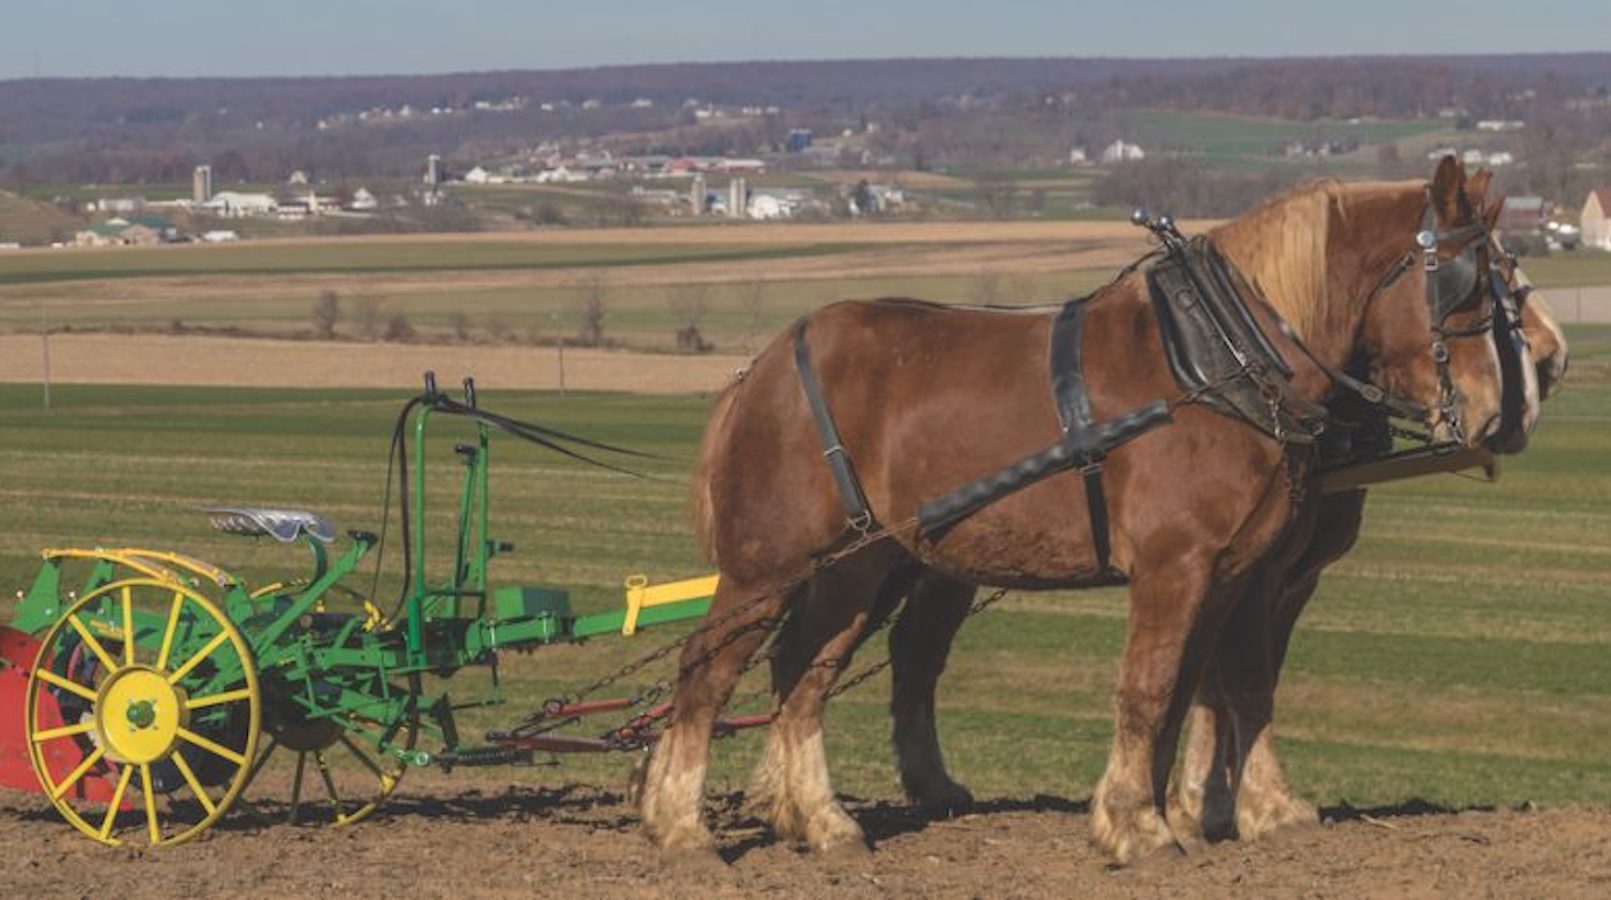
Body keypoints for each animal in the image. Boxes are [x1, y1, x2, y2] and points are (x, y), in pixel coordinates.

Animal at [638, 157, 1526, 865]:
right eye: (1464, 284)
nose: (1493, 411)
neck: (1218, 363)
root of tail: (762, 366)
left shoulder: (1235, 573)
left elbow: (1215, 686)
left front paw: (1203, 816)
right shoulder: (1175, 568)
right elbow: (1150, 688)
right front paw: (1137, 828)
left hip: (857, 565)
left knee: (804, 675)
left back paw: (821, 823)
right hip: (769, 565)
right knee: (707, 672)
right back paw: (682, 827)